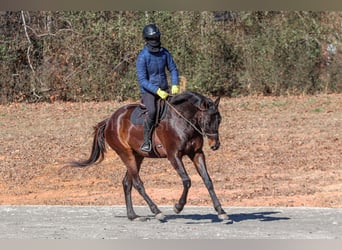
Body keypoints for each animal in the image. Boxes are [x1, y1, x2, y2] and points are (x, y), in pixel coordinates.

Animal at [71, 90, 228, 221]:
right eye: (207, 120)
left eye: (219, 120)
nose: (215, 145)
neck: (183, 120)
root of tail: (110, 120)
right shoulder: (174, 155)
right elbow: (187, 181)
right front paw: (178, 207)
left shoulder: (196, 153)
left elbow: (208, 181)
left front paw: (221, 211)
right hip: (126, 153)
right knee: (137, 183)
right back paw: (156, 211)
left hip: (137, 156)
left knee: (127, 182)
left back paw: (133, 215)